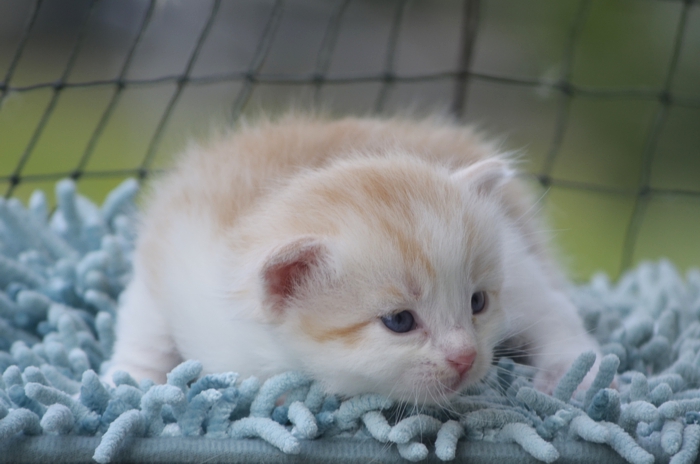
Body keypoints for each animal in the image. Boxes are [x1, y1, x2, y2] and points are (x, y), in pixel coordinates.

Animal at [104, 114, 602, 405]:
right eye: (400, 322)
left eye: (477, 303)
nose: (466, 357)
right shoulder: (168, 254)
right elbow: (145, 328)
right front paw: (127, 383)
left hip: (518, 257)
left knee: (553, 309)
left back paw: (579, 377)